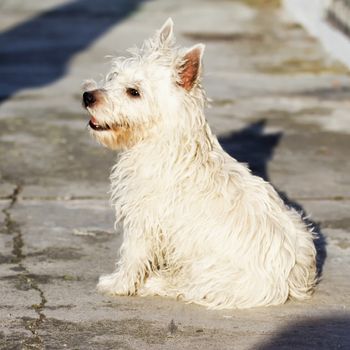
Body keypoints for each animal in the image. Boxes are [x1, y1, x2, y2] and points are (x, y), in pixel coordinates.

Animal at [82, 19, 318, 308]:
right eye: (113, 76)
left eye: (133, 92)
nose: (88, 96)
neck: (161, 140)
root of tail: (288, 283)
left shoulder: (144, 220)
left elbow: (132, 255)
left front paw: (119, 285)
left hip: (208, 271)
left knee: (187, 286)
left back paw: (156, 282)